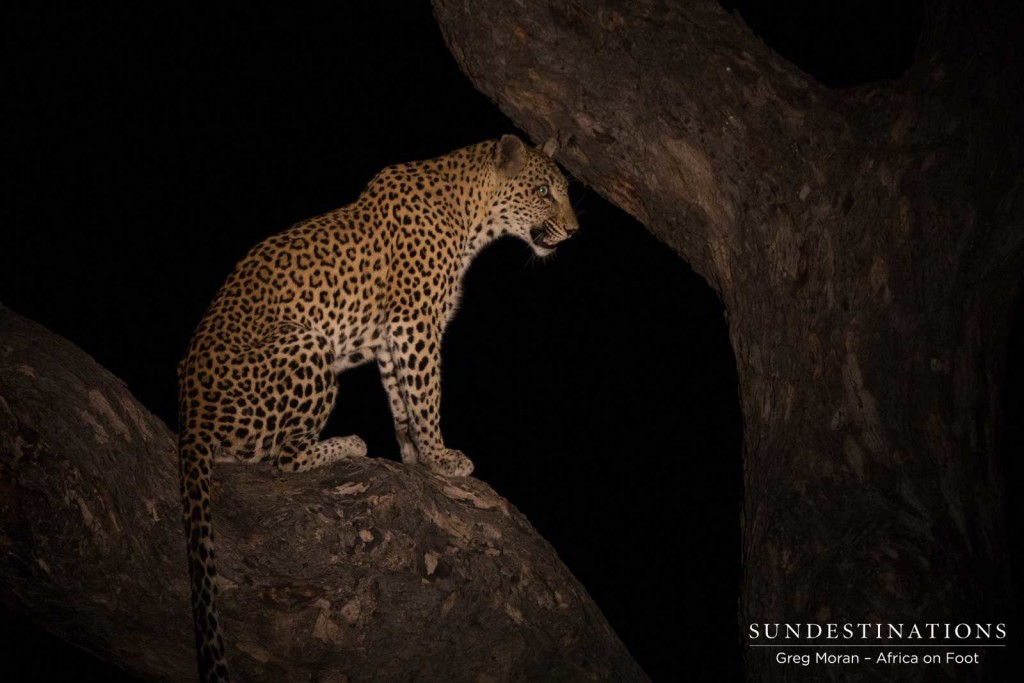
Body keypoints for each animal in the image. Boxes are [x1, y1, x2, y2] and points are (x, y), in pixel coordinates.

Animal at [176, 135, 577, 683]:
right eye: (542, 192)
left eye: (562, 191)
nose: (576, 230)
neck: (471, 213)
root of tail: (190, 411)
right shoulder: (414, 322)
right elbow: (427, 396)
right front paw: (442, 458)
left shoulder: (392, 337)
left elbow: (403, 402)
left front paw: (415, 458)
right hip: (309, 345)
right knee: (280, 456)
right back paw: (348, 444)